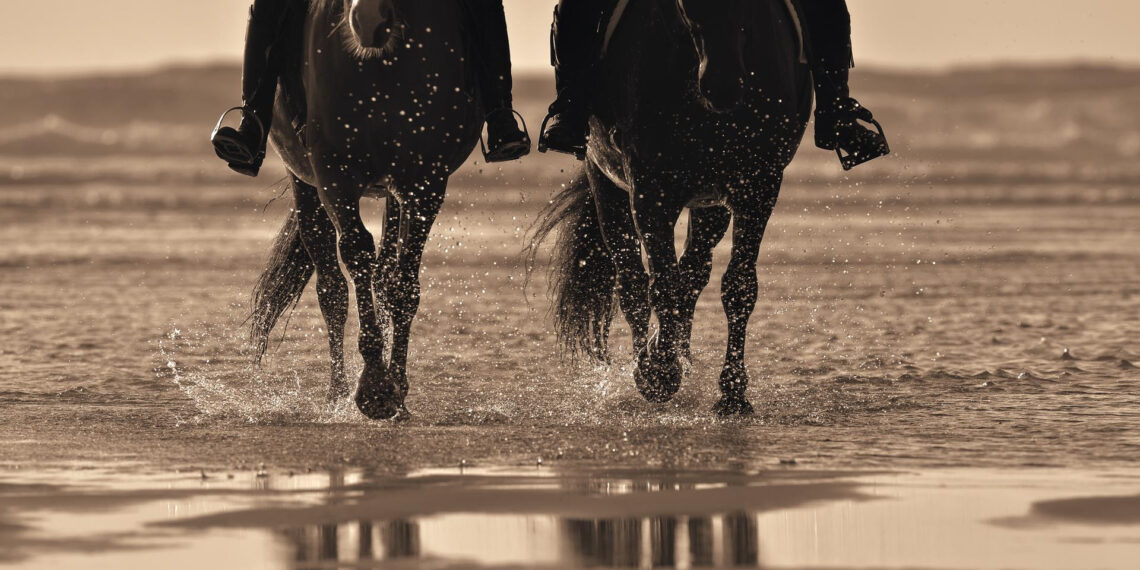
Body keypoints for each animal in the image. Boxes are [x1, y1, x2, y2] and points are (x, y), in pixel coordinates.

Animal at [247, 0, 484, 420]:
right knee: (331, 289)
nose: (368, 20)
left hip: (392, 193)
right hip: (305, 183)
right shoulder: (334, 177)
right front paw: (373, 385)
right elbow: (356, 255)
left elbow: (402, 286)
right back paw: (336, 394)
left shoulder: (424, 183)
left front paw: (396, 390)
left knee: (383, 275)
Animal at [531, 0, 813, 415]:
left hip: (711, 206)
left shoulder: (757, 188)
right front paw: (659, 372)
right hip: (606, 185)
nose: (722, 85)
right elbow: (661, 283)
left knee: (693, 272)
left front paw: (732, 393)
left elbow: (738, 285)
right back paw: (648, 361)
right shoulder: (649, 190)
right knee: (633, 281)